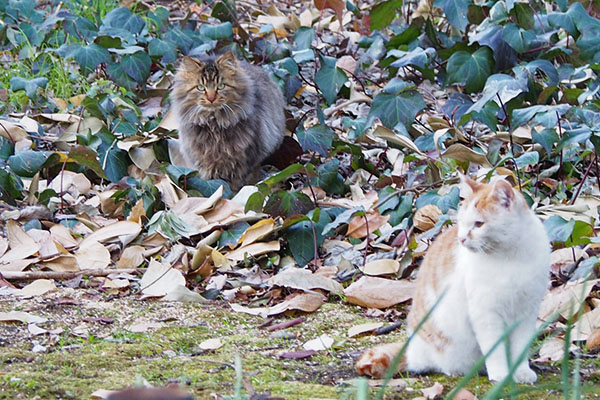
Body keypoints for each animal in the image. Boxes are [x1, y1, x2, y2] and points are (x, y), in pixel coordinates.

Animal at [171, 51, 286, 191]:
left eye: (221, 86)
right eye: (200, 87)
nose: (211, 98)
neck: (214, 124)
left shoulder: (242, 160)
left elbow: (235, 183)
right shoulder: (203, 160)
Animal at [358, 176, 552, 384]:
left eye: (478, 224)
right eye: (462, 223)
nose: (461, 239)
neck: (510, 257)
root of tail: (411, 349)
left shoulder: (527, 312)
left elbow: (520, 348)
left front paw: (521, 372)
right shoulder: (486, 314)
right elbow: (495, 349)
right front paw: (501, 375)